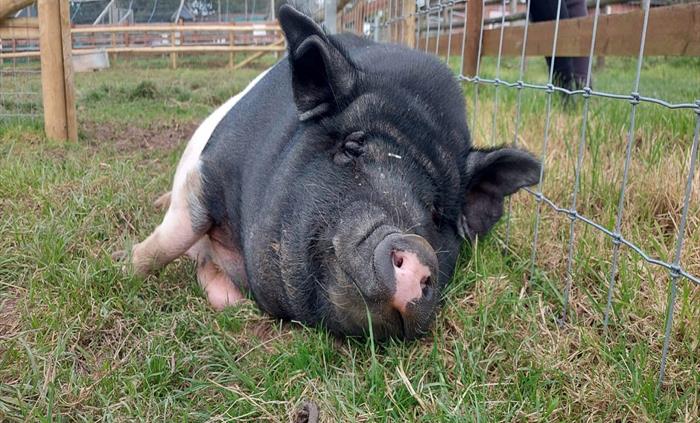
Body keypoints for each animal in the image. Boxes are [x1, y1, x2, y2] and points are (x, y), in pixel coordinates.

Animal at [122, 5, 541, 340]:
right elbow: (172, 239)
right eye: (351, 147)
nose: (416, 249)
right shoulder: (209, 169)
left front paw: (229, 302)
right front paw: (122, 267)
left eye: (440, 212)